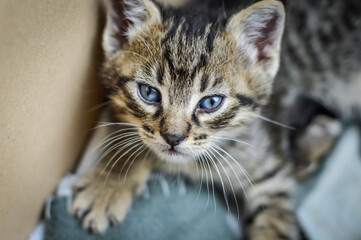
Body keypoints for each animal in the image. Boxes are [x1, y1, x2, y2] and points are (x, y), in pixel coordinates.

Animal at [71, 0, 360, 239]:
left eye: (211, 103)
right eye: (149, 93)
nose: (173, 138)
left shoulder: (272, 177)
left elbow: (275, 224)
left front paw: (107, 185)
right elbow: (138, 143)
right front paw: (109, 182)